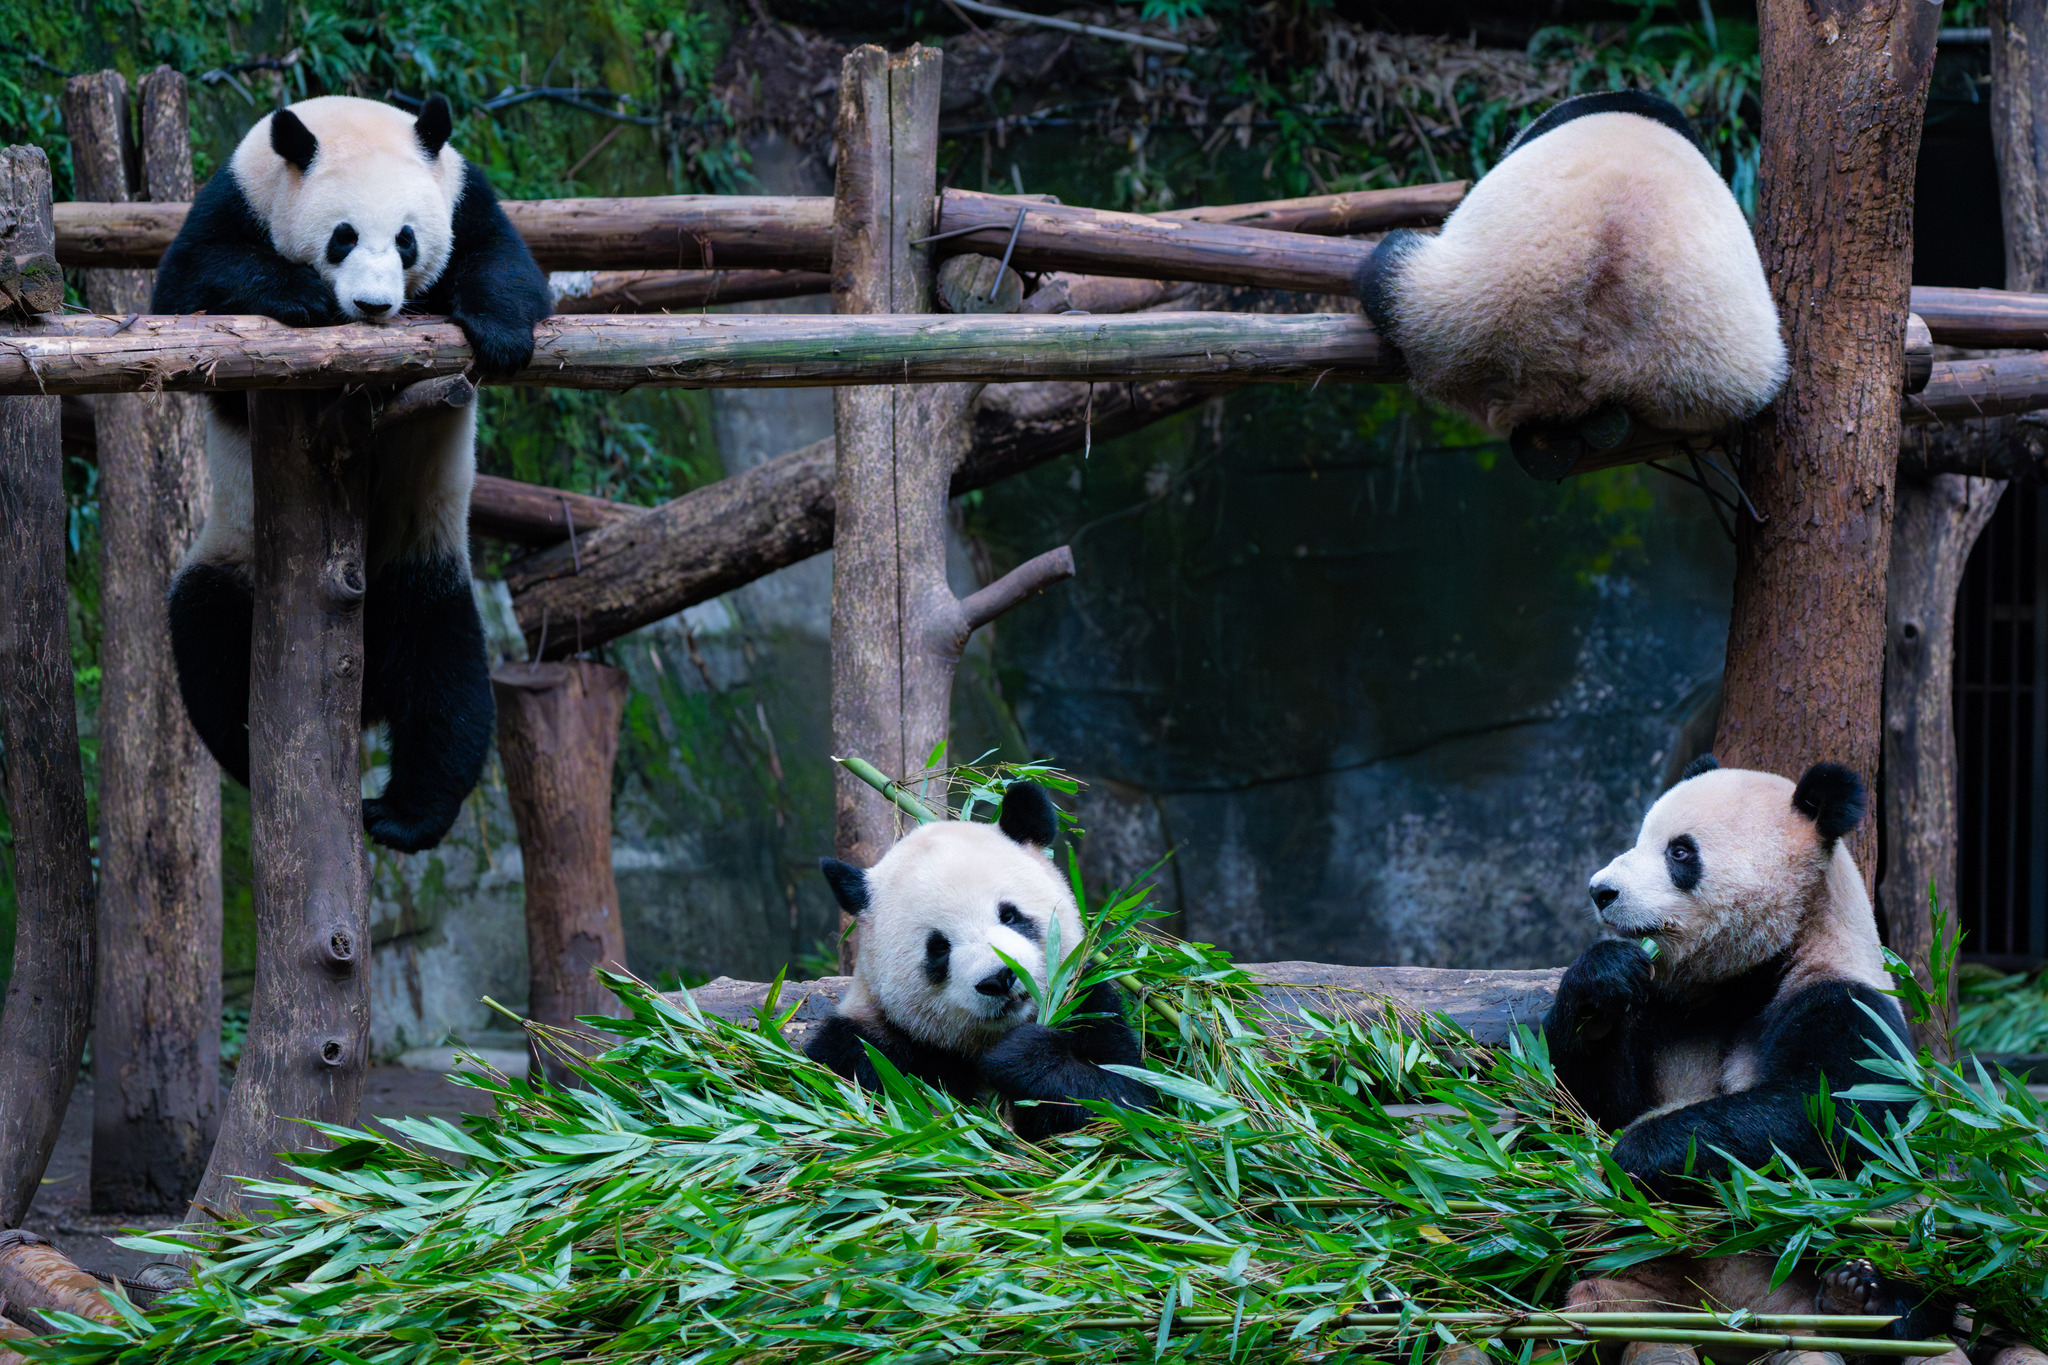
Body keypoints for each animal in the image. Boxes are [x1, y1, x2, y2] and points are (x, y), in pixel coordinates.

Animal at [152, 93, 552, 855]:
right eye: (342, 237)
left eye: (406, 241)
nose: (372, 307)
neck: (348, 119)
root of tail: (364, 695)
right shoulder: (236, 200)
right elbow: (187, 285)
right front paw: (302, 297)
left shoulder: (465, 196)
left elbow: (509, 268)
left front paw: (500, 333)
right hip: (233, 561)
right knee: (209, 648)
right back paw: (257, 752)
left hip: (422, 566)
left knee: (447, 678)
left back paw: (404, 815)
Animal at [811, 777, 1171, 1146]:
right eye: (939, 948)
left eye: (1009, 915)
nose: (999, 978)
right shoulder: (866, 1046)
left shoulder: (1089, 1006)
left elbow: (1128, 1105)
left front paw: (1021, 1056)